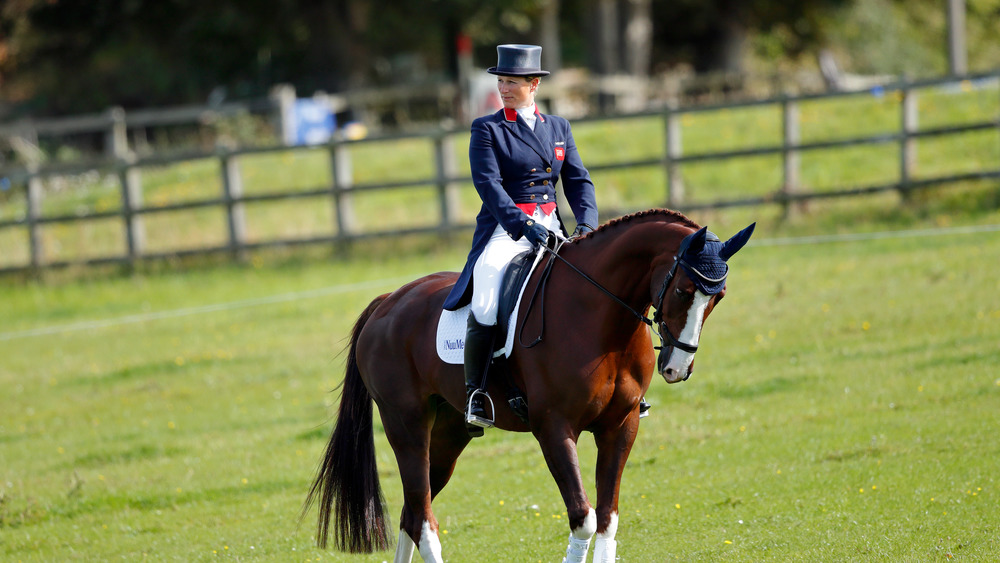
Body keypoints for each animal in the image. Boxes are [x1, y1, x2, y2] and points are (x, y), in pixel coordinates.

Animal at [304, 210, 756, 563]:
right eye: (682, 289)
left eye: (718, 297)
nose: (678, 367)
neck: (599, 318)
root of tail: (388, 302)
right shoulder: (554, 429)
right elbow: (584, 518)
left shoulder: (621, 425)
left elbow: (607, 518)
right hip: (407, 426)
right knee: (424, 517)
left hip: (449, 432)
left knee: (413, 510)